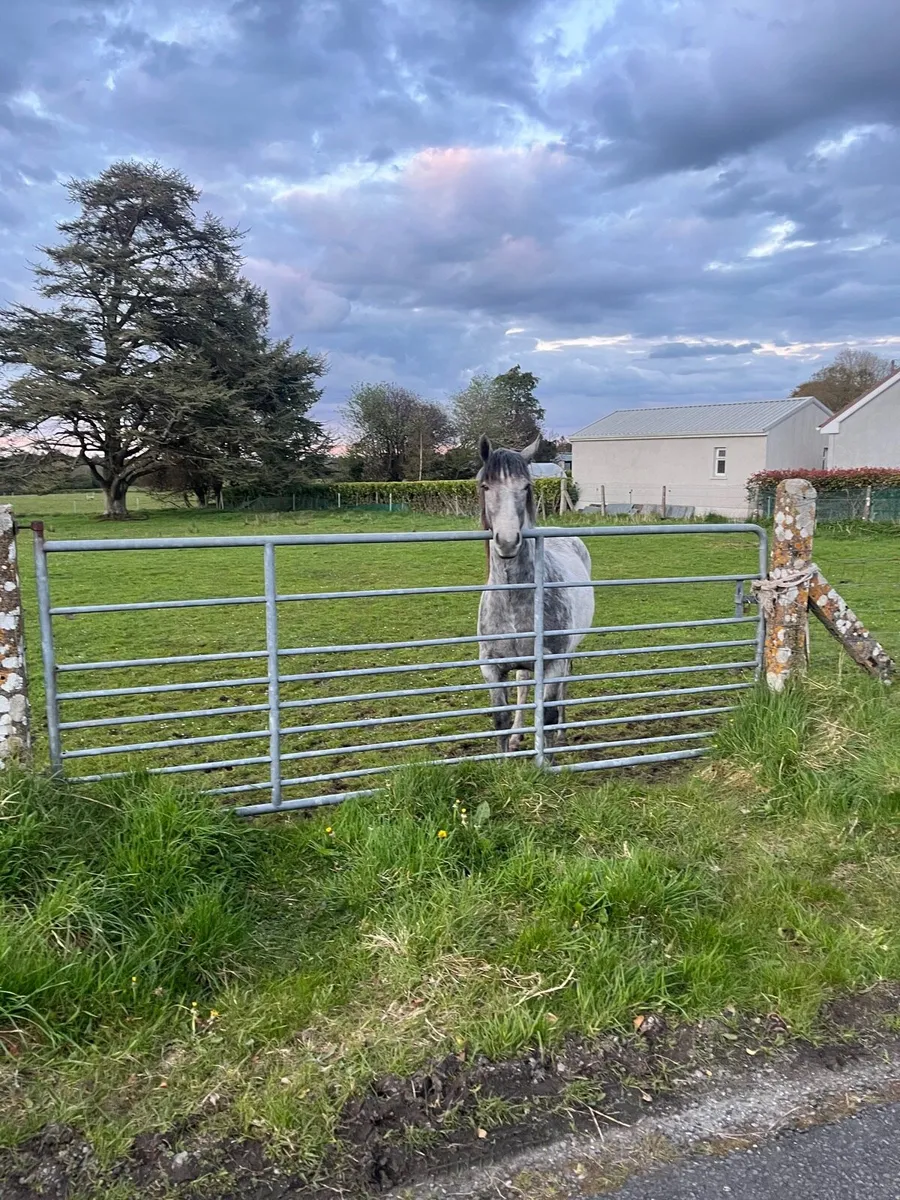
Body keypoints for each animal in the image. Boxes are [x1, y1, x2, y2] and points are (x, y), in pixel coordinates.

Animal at [476, 434, 595, 755]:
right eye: (485, 486)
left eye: (526, 486)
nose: (507, 541)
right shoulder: (491, 668)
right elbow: (500, 719)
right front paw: (504, 759)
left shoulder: (552, 662)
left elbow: (549, 714)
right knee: (522, 685)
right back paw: (518, 736)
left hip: (568, 653)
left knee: (564, 685)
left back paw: (563, 734)